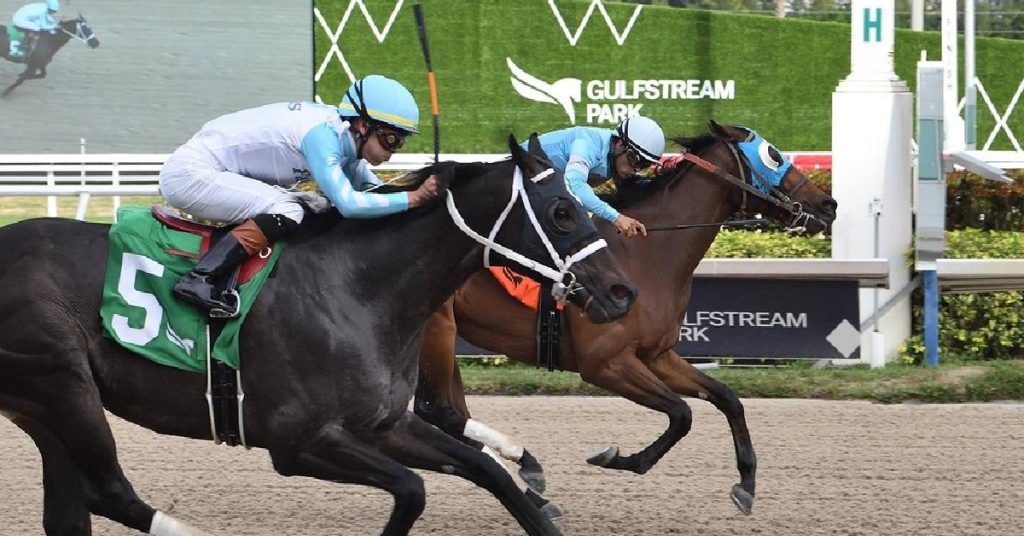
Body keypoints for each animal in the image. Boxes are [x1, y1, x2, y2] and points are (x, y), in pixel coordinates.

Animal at [0, 134, 638, 536]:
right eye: (562, 211)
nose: (622, 293)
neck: (357, 287)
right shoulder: (298, 441)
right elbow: (412, 490)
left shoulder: (385, 424)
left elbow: (487, 473)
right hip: (63, 385)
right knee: (109, 492)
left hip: (40, 404)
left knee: (72, 513)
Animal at [413, 121, 838, 518]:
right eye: (774, 156)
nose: (828, 204)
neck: (647, 255)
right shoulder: (605, 363)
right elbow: (682, 414)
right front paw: (615, 457)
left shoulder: (657, 355)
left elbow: (727, 399)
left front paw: (746, 484)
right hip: (437, 332)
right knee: (438, 410)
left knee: (448, 412)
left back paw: (532, 494)